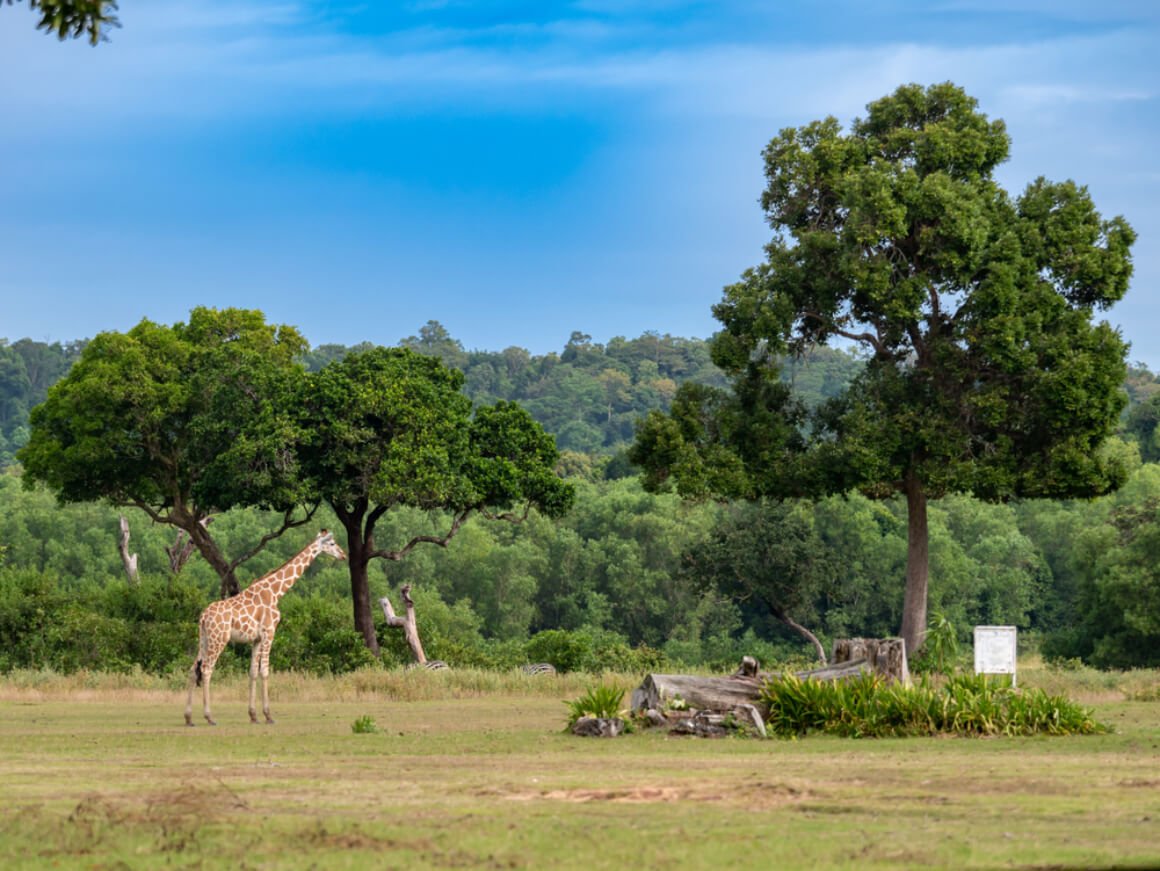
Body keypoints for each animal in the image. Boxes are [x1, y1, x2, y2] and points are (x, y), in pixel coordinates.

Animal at [183, 528, 345, 723]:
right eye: (332, 543)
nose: (343, 555)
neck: (276, 593)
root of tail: (203, 617)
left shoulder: (256, 639)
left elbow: (253, 672)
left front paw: (253, 715)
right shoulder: (270, 632)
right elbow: (265, 671)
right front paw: (268, 715)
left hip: (204, 639)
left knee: (193, 669)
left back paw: (189, 718)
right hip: (219, 639)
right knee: (206, 669)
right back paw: (209, 717)